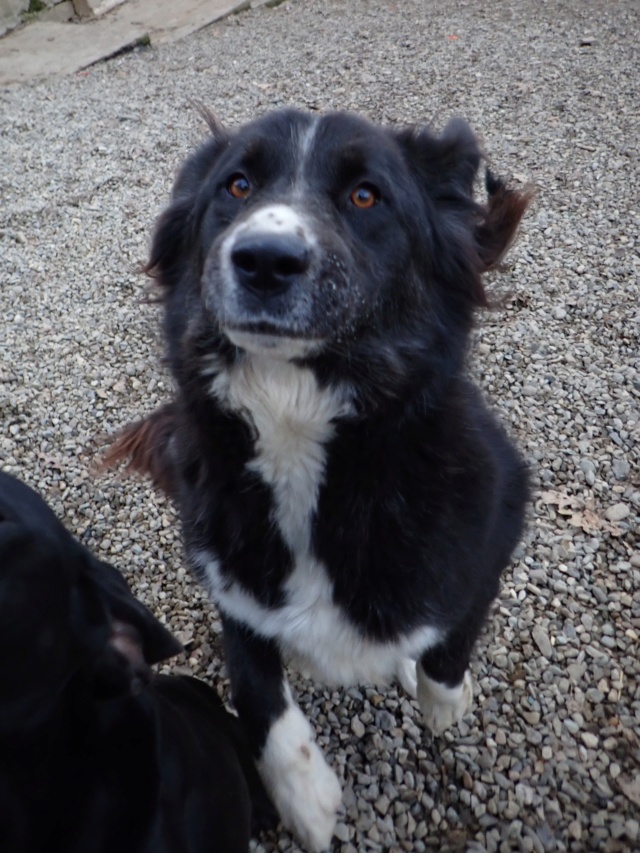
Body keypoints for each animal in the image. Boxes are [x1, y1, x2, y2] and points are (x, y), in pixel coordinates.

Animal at [104, 107, 531, 851]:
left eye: (366, 195)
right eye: (236, 185)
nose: (265, 259)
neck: (297, 419)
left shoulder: (497, 513)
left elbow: (453, 634)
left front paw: (444, 703)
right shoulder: (230, 568)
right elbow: (252, 681)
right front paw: (303, 792)